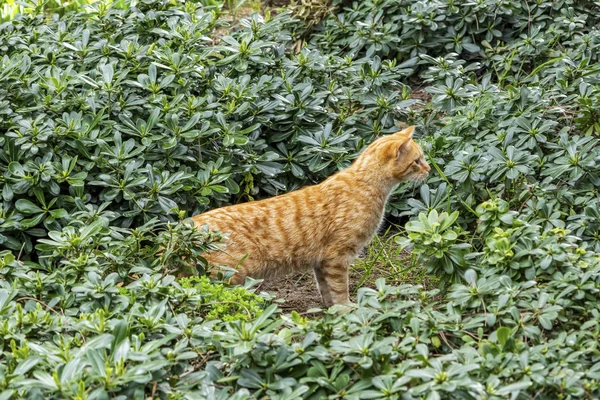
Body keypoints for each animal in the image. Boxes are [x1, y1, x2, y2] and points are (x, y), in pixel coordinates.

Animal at [193, 127, 432, 306]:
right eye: (417, 161)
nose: (429, 169)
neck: (364, 183)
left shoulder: (321, 261)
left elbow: (325, 288)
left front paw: (331, 309)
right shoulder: (338, 256)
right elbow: (340, 289)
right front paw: (346, 310)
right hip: (224, 275)